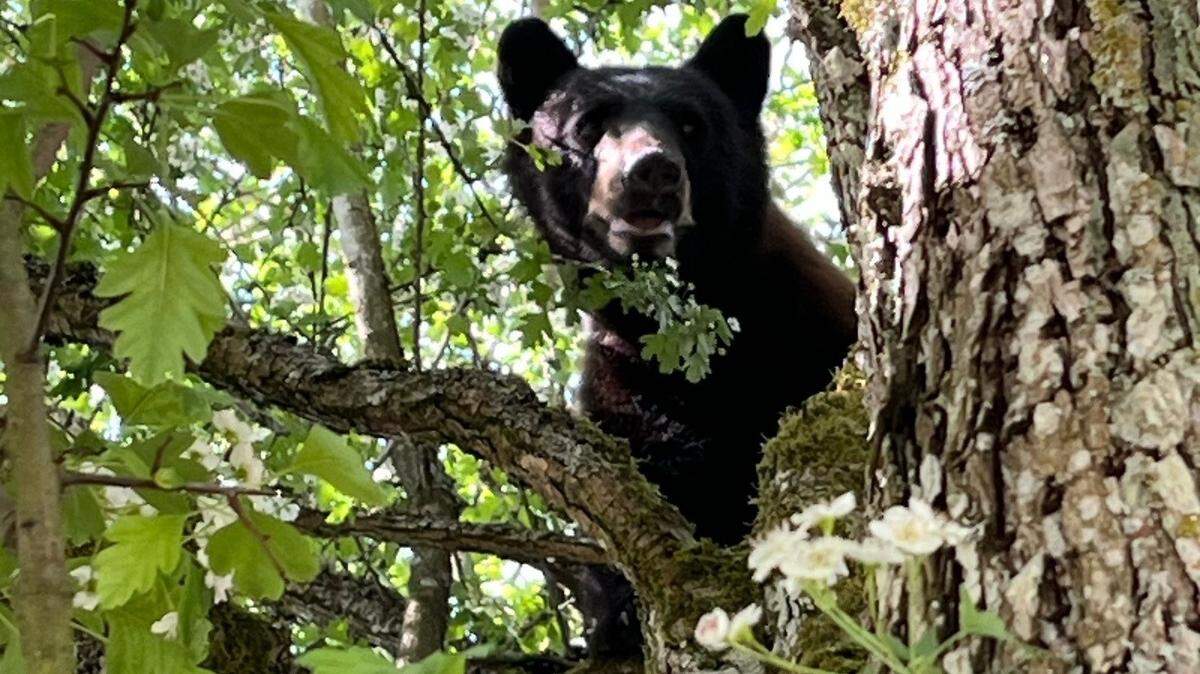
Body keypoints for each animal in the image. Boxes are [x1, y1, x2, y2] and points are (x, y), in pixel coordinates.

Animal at [497, 13, 856, 658]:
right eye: (589, 124)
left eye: (691, 124)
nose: (652, 171)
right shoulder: (625, 382)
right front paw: (614, 621)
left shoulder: (810, 333)